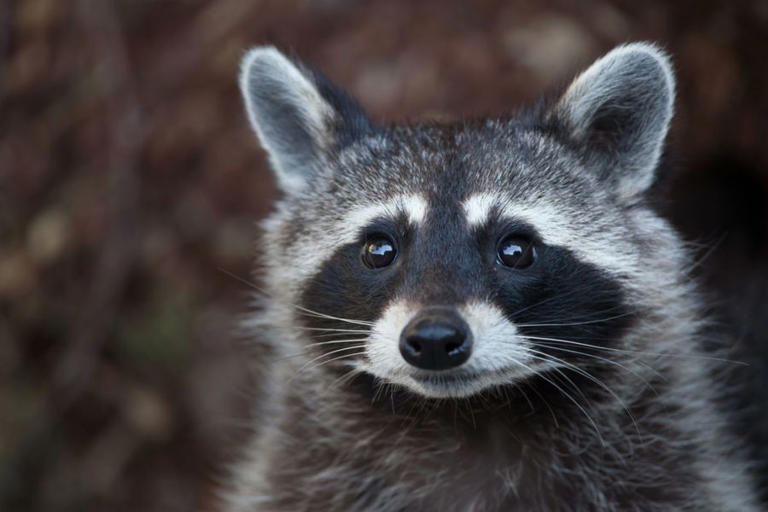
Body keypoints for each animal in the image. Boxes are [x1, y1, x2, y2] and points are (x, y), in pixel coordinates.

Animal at [226, 43, 762, 511]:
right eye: (379, 250)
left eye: (515, 250)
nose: (435, 339)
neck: (468, 417)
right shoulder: (295, 474)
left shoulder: (672, 466)